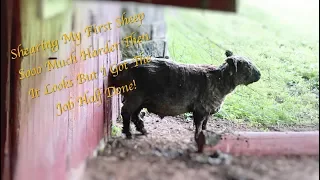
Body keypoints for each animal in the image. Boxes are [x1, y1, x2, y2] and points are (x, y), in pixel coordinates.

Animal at [106, 50, 262, 141]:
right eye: (247, 66)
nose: (260, 75)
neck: (220, 80)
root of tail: (118, 68)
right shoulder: (201, 109)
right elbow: (199, 125)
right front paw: (198, 138)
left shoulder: (207, 110)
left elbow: (205, 125)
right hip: (135, 96)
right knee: (126, 112)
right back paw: (128, 133)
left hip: (142, 99)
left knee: (134, 114)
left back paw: (142, 130)